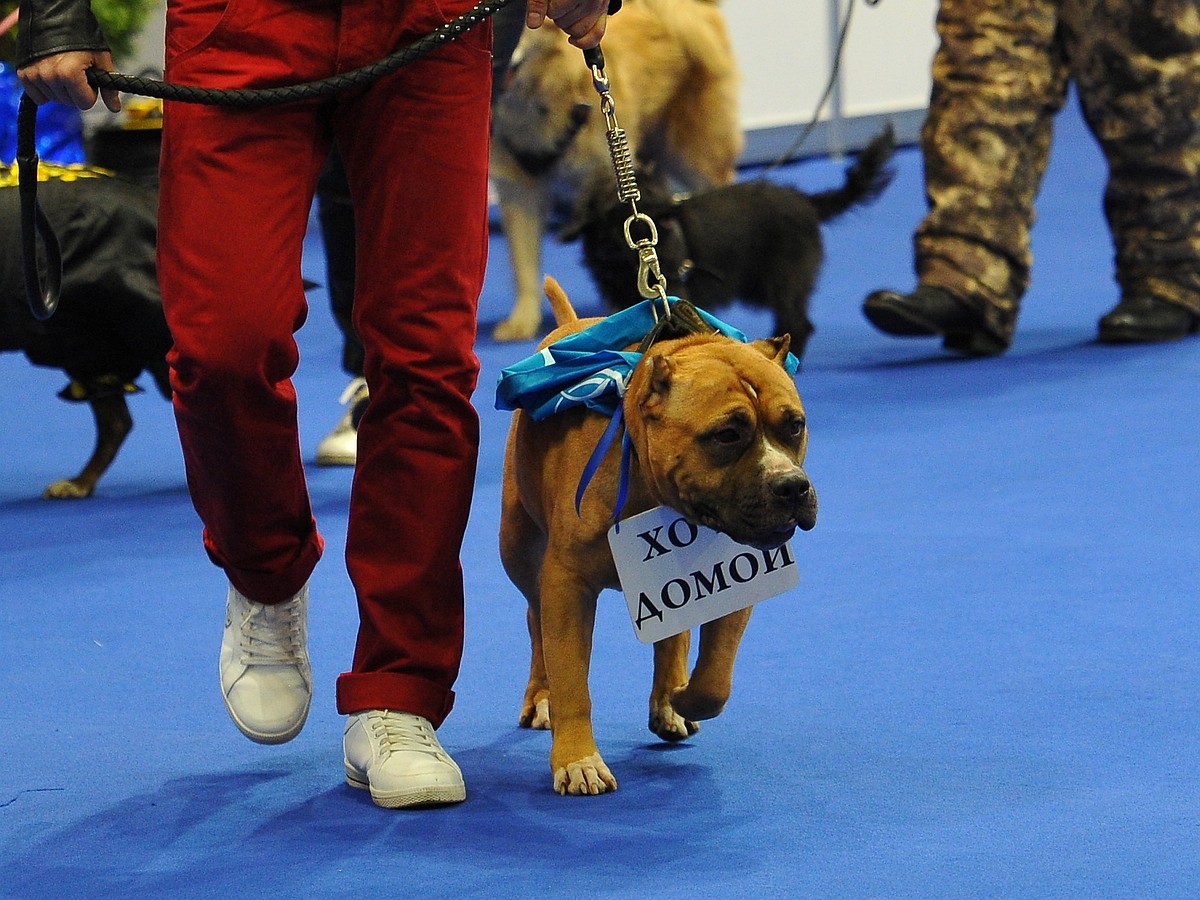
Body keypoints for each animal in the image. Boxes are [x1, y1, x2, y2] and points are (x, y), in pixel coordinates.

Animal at [496, 280, 816, 796]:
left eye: (795, 425)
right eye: (727, 435)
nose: (791, 485)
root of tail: (574, 324)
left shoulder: (736, 580)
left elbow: (716, 678)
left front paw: (682, 698)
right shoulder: (567, 585)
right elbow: (572, 679)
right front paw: (577, 759)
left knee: (673, 636)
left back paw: (668, 699)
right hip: (520, 549)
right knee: (535, 620)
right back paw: (541, 695)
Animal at [556, 127, 897, 360]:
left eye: (652, 193)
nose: (671, 209)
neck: (621, 257)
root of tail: (805, 201)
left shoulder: (671, 292)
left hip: (783, 281)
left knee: (798, 322)